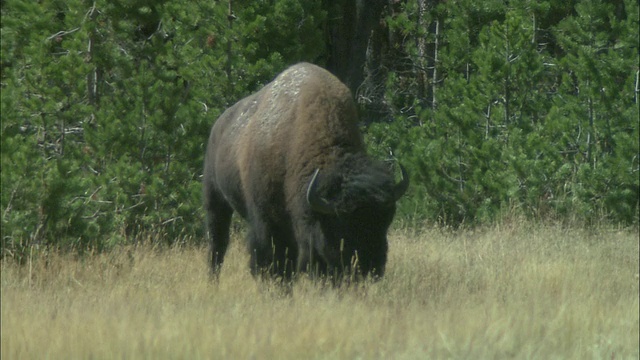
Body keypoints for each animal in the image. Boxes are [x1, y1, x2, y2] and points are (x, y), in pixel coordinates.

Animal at [202, 62, 408, 282]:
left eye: (386, 220)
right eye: (342, 227)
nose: (370, 268)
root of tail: (218, 126)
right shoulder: (265, 220)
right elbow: (268, 256)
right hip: (215, 200)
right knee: (218, 243)